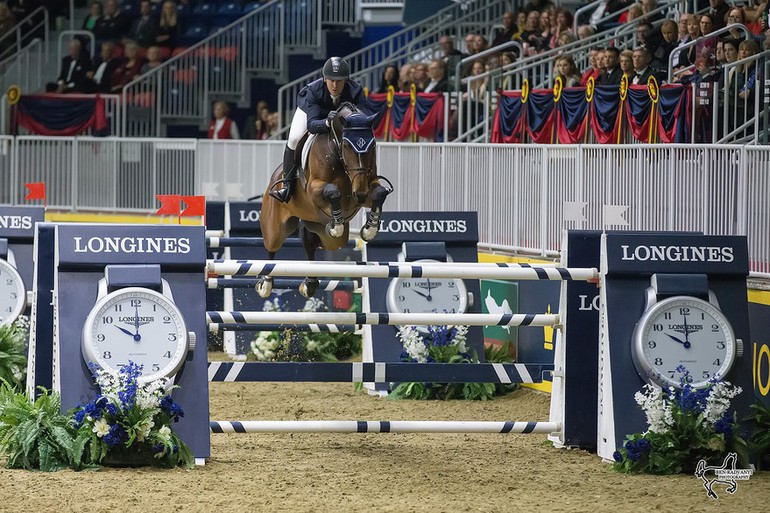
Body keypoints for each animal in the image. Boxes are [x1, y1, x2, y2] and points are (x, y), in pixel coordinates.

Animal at [258, 100, 390, 298]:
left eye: (372, 146)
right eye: (346, 146)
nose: (359, 193)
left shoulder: (367, 185)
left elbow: (379, 193)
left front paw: (370, 229)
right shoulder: (314, 189)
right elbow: (333, 191)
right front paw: (337, 225)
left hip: (323, 233)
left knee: (310, 241)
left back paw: (309, 282)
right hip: (275, 227)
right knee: (271, 248)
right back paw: (265, 284)